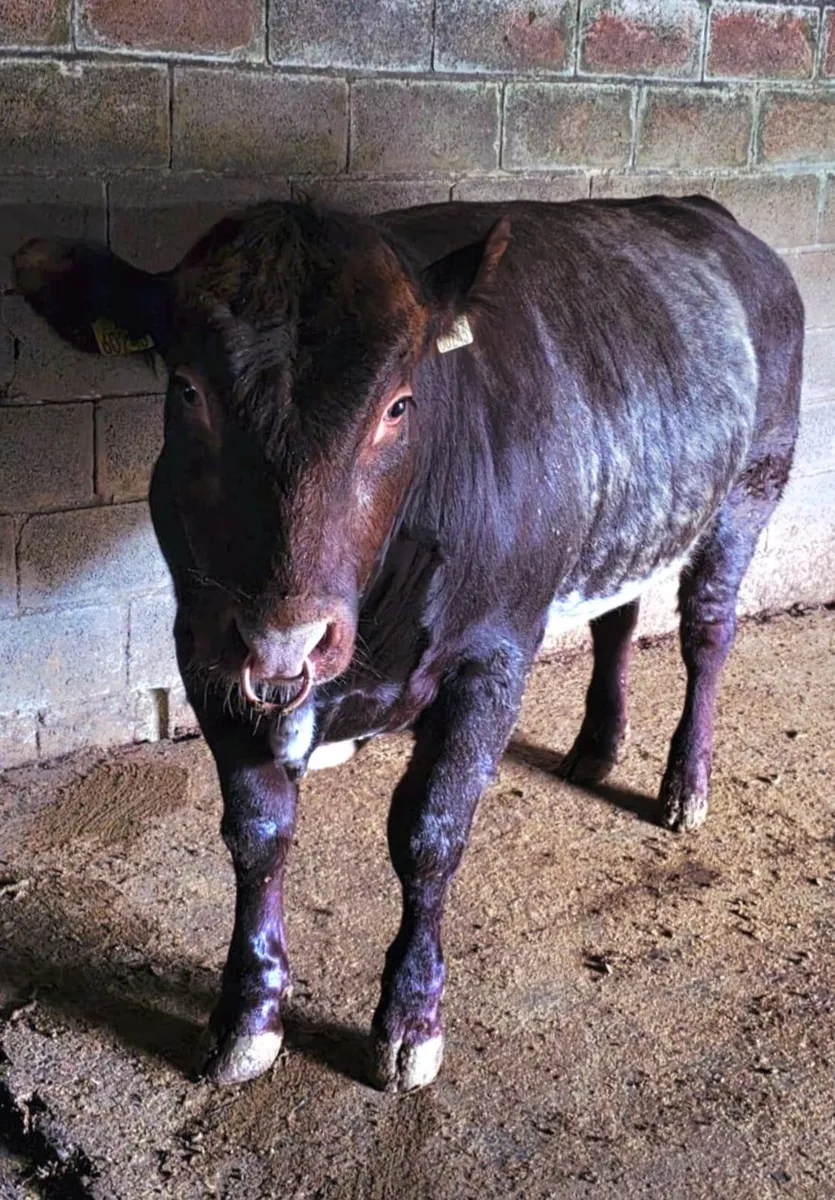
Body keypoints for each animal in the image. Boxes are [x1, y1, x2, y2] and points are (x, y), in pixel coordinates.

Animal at [14, 194, 803, 1093]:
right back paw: (596, 747)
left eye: (398, 405)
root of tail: (709, 215)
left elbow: (430, 833)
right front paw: (247, 1016)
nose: (287, 631)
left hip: (751, 488)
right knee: (618, 616)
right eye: (186, 390)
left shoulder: (494, 653)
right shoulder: (204, 648)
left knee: (706, 631)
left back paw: (683, 785)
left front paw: (409, 1021)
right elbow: (257, 833)